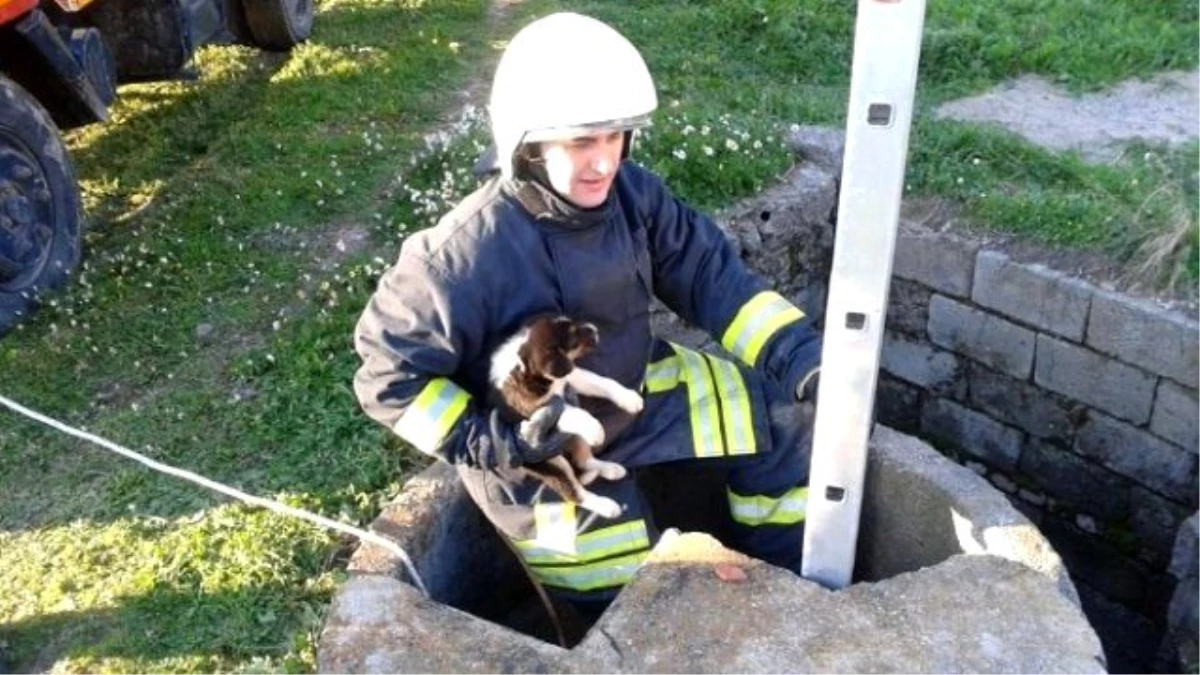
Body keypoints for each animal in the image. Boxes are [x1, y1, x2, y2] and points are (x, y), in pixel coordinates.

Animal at [489, 314, 648, 514]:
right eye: (573, 338)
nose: (595, 329)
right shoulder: (531, 408)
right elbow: (568, 410)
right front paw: (594, 428)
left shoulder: (572, 377)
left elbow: (602, 381)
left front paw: (628, 398)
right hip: (551, 463)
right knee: (574, 493)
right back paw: (607, 506)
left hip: (575, 440)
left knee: (583, 461)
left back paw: (611, 469)